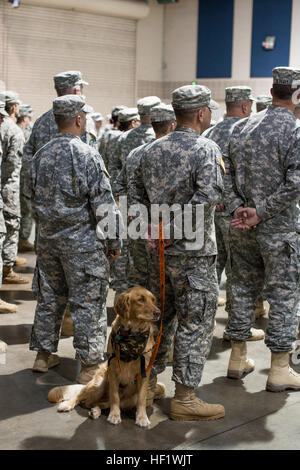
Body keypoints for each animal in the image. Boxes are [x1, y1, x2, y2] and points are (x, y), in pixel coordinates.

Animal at [47, 284, 159, 428]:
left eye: (154, 300)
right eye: (140, 299)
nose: (158, 312)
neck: (132, 335)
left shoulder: (144, 373)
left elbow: (141, 399)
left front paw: (142, 417)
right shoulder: (113, 371)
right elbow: (115, 397)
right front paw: (114, 415)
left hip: (128, 399)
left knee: (96, 403)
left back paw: (95, 411)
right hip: (98, 385)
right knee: (82, 398)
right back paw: (68, 405)